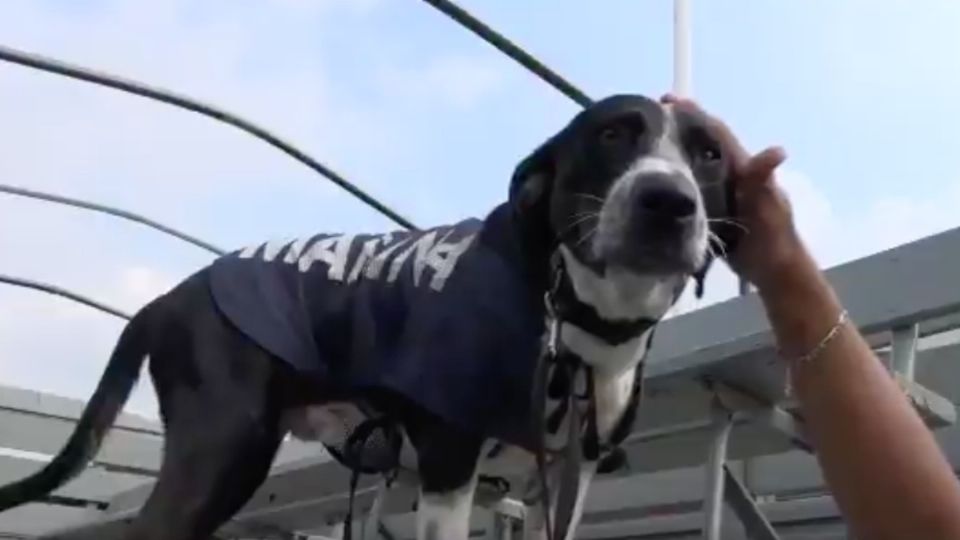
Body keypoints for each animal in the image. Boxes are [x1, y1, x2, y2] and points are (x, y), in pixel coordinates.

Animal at [0, 95, 740, 536]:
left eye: (710, 155)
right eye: (610, 134)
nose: (667, 202)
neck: (578, 317)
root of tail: (166, 298)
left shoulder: (563, 478)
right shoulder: (448, 465)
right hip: (221, 450)